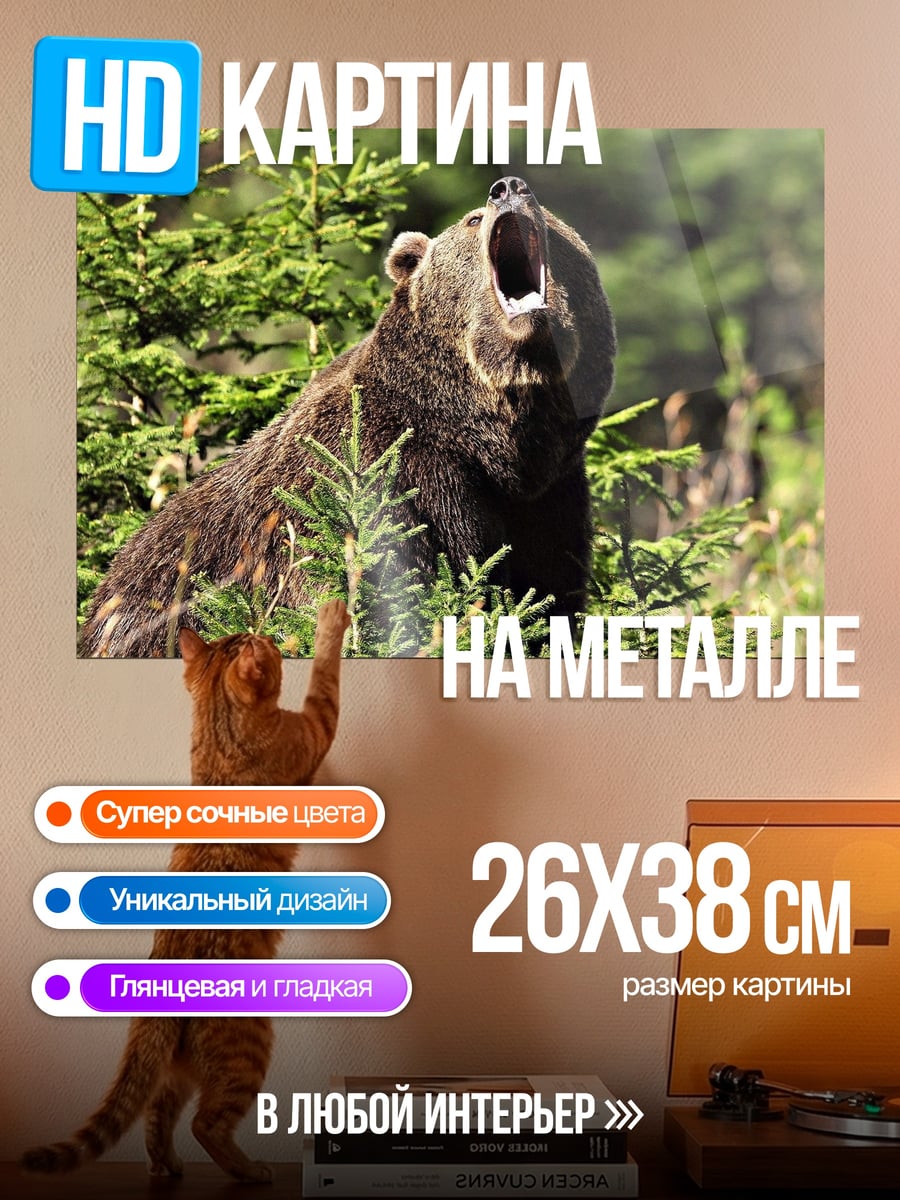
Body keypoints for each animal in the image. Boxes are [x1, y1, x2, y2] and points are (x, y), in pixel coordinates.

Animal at [80, 175, 616, 657]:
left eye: (550, 218)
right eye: (472, 220)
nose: (509, 187)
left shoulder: (550, 497)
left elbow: (547, 594)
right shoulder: (389, 478)